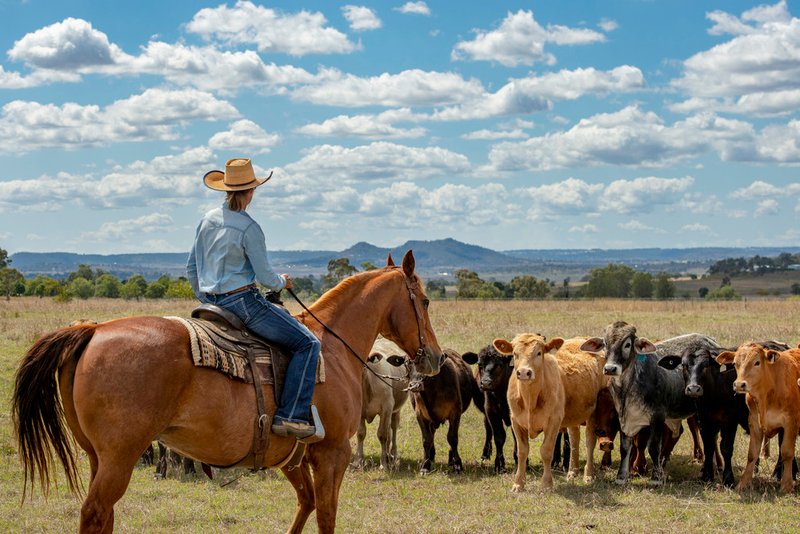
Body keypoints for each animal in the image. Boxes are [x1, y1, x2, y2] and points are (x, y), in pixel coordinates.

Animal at [10, 252, 444, 534]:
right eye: (424, 301)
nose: (436, 357)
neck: (332, 347)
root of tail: (93, 329)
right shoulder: (333, 452)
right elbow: (326, 515)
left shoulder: (293, 458)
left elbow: (306, 503)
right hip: (120, 457)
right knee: (96, 513)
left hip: (97, 457)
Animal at [580, 324, 700, 488]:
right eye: (604, 344)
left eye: (627, 344)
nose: (610, 369)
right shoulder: (626, 418)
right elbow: (626, 447)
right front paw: (622, 475)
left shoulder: (656, 418)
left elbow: (651, 445)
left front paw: (650, 474)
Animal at [716, 344, 800, 494]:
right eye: (735, 363)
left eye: (757, 362)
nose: (739, 385)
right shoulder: (755, 423)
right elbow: (752, 454)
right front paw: (743, 484)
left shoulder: (791, 423)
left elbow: (786, 452)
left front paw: (786, 485)